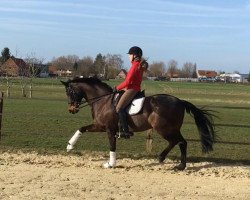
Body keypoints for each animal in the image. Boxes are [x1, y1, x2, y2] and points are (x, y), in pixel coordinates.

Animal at [61, 76, 216, 170]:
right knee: (177, 142)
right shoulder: (100, 126)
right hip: (170, 129)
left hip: (164, 128)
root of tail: (180, 101)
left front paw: (111, 164)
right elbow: (81, 128)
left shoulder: (109, 128)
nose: (71, 109)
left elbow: (112, 145)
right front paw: (69, 146)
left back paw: (177, 164)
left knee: (180, 142)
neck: (103, 100)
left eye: (69, 92)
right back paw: (167, 159)